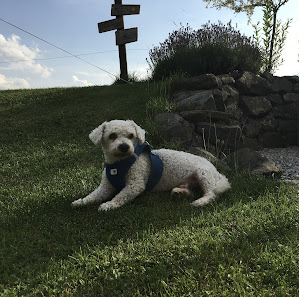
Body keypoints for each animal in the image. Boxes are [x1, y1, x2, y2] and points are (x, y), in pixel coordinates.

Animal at [71, 118, 231, 210]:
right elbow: (93, 195)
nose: (124, 147)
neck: (120, 163)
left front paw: (109, 204)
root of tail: (217, 173)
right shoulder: (105, 187)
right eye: (112, 136)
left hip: (203, 173)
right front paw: (81, 202)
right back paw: (179, 193)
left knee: (211, 194)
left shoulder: (135, 185)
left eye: (131, 135)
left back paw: (200, 201)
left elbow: (120, 196)